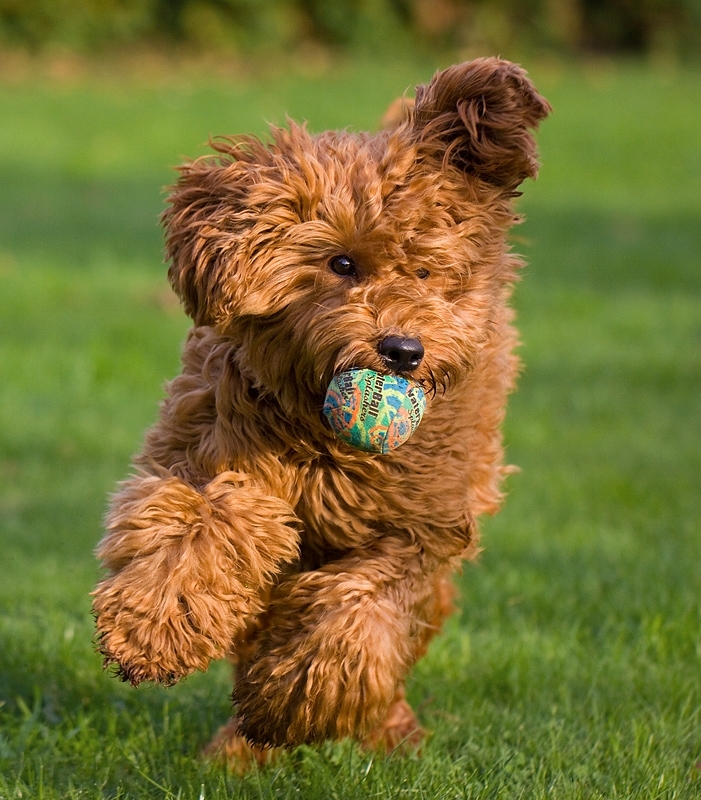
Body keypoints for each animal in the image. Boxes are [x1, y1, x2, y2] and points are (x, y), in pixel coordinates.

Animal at [91, 56, 548, 764]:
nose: (402, 351)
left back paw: (379, 730)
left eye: (424, 272)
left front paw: (291, 703)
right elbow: (204, 523)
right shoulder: (210, 450)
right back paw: (238, 753)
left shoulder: (420, 529)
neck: (326, 443)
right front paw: (152, 632)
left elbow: (361, 611)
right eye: (341, 262)